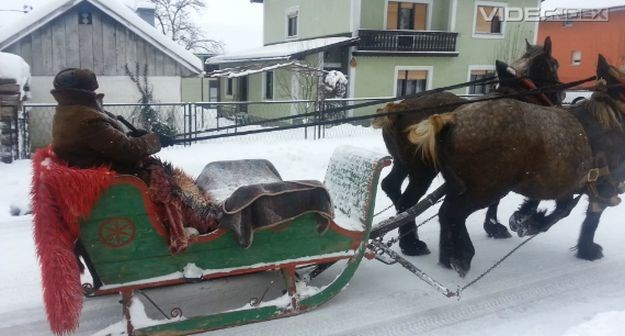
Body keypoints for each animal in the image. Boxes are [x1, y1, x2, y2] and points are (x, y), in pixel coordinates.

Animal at [372, 36, 564, 256]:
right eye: (555, 65)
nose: (561, 96)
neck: (519, 94)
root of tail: (400, 108)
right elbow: (499, 199)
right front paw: (497, 225)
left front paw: (493, 226)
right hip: (423, 171)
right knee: (407, 202)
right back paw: (411, 243)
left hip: (402, 163)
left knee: (391, 186)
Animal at [410, 55, 624, 276]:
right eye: (553, 66)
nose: (561, 93)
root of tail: (452, 120)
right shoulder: (605, 186)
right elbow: (587, 217)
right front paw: (585, 248)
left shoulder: (564, 181)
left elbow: (559, 206)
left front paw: (524, 218)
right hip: (485, 188)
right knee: (452, 213)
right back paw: (460, 255)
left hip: (462, 185)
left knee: (445, 213)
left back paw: (447, 257)